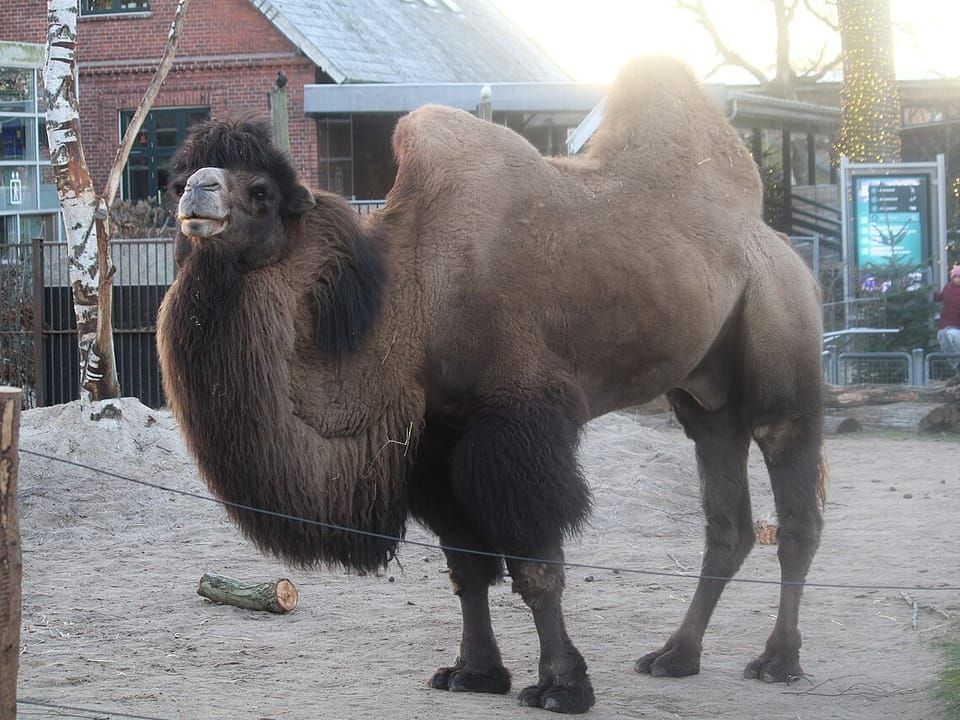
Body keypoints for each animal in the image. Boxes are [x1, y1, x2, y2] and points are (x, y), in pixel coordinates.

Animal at [157, 56, 826, 715]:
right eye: (177, 177)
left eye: (262, 192)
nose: (197, 193)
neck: (409, 296)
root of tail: (779, 244)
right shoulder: (437, 435)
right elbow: (467, 565)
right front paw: (474, 672)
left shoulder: (517, 419)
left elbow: (535, 564)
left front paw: (562, 685)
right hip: (704, 398)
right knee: (728, 520)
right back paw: (676, 656)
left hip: (780, 337)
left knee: (792, 499)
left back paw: (779, 660)